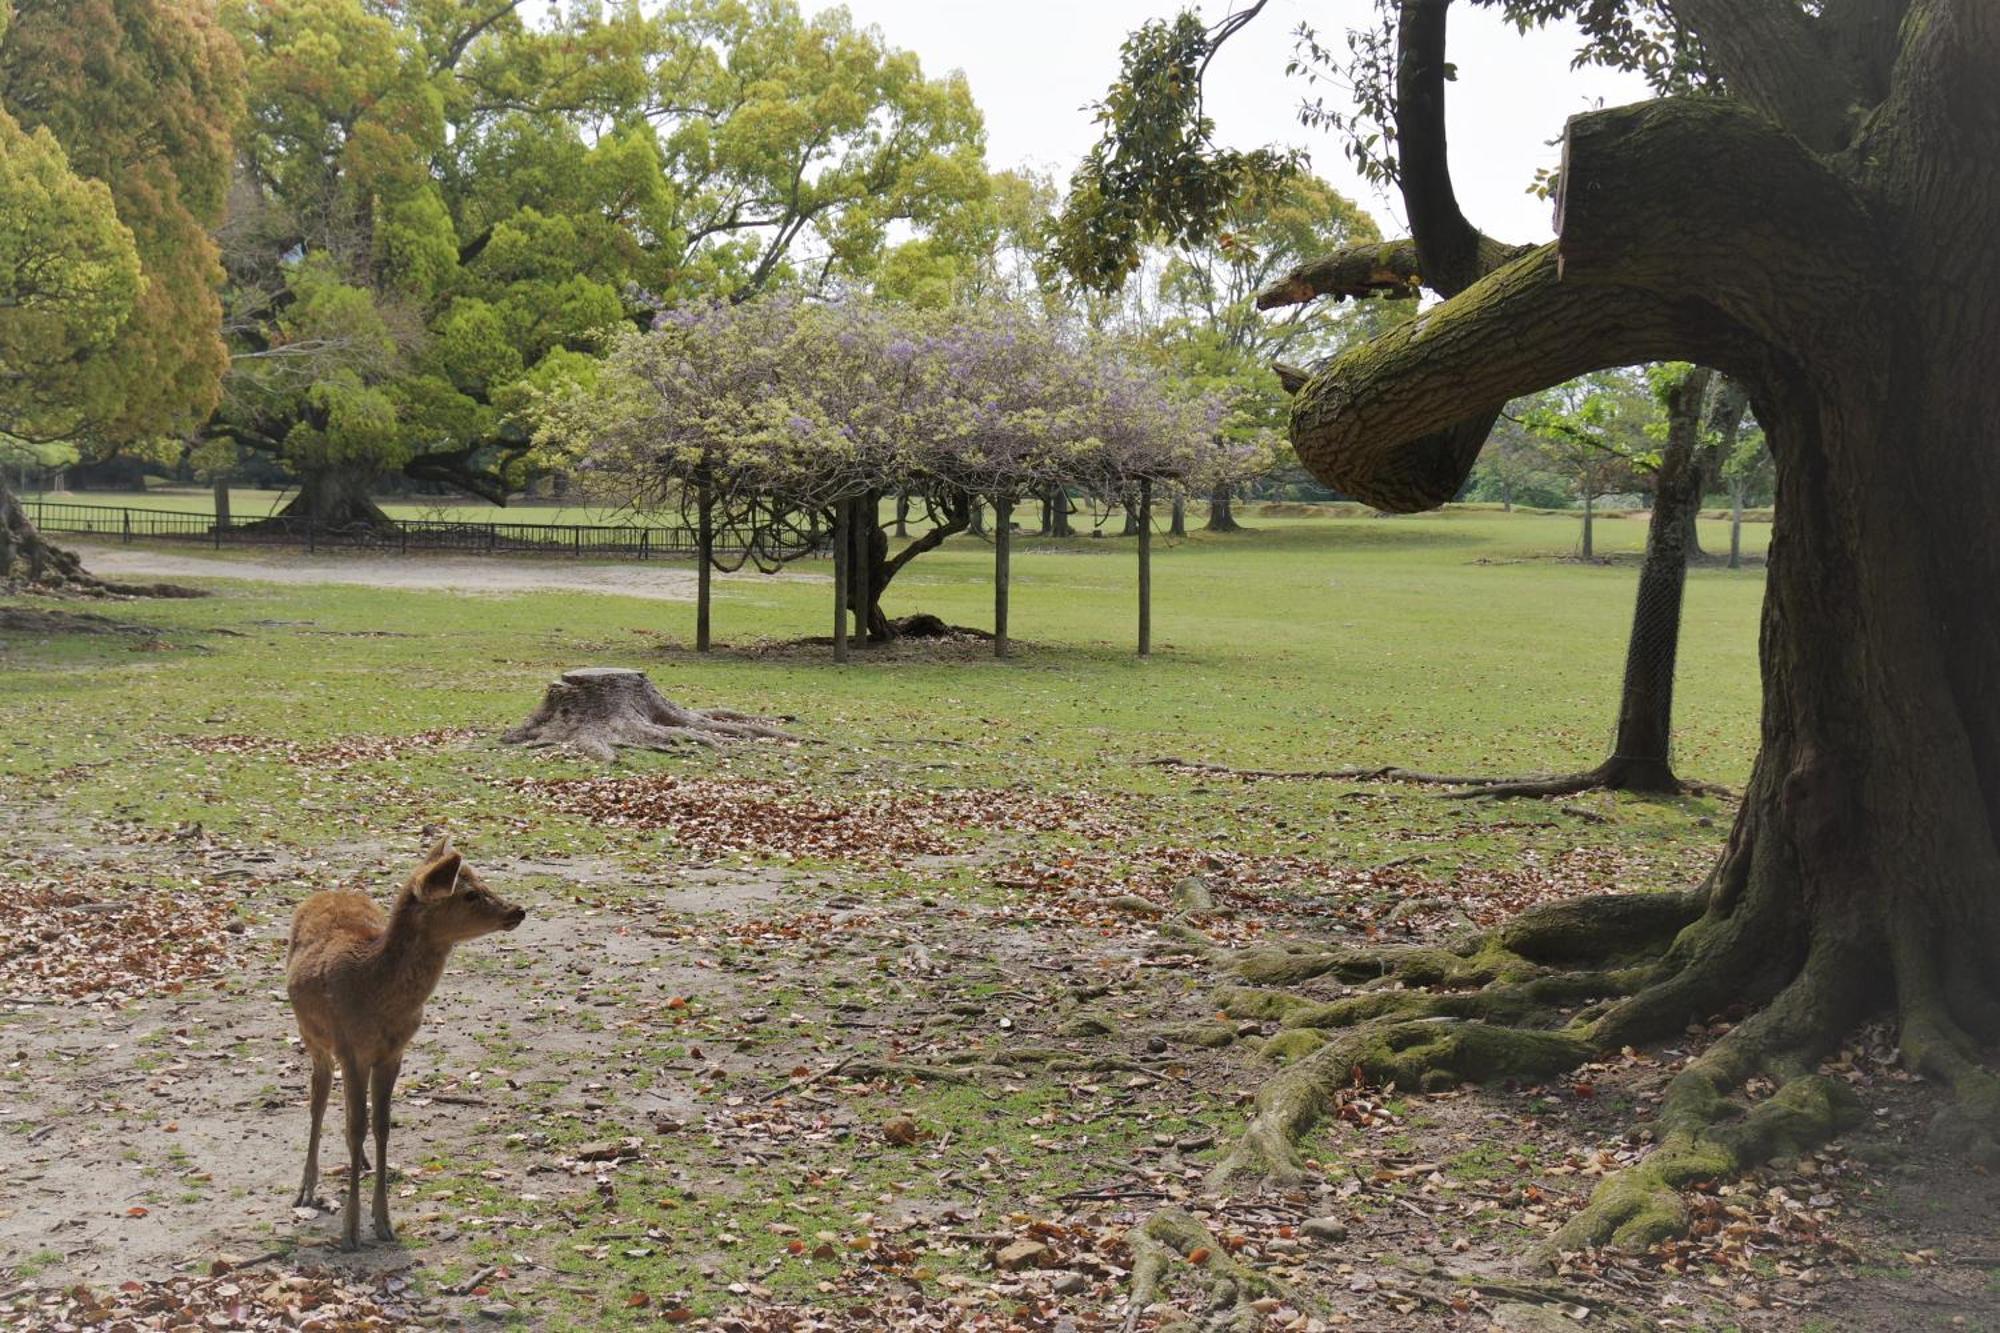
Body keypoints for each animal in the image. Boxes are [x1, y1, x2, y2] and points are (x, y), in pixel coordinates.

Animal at [290, 832, 528, 1248]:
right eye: (468, 894)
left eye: (482, 882)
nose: (517, 910)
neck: (373, 990)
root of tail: (328, 891)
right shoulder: (350, 1048)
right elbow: (356, 1126)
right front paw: (351, 1232)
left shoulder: (394, 1052)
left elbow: (381, 1125)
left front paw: (384, 1222)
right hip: (312, 1035)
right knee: (318, 1096)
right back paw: (307, 1188)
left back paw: (361, 1163)